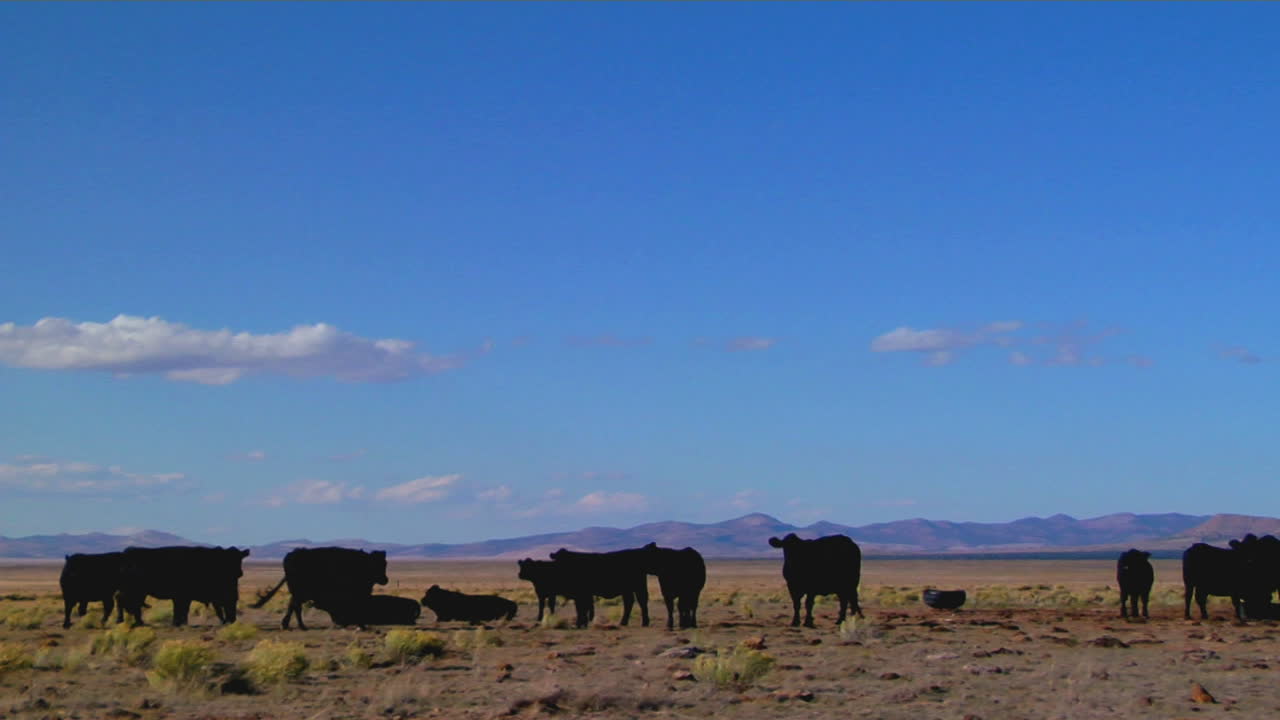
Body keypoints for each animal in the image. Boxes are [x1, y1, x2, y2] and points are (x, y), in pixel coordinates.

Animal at [117, 546, 250, 626]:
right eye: (226, 571)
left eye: (239, 574)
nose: (232, 620)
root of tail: (127, 552)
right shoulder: (182, 596)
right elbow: (181, 609)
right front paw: (179, 623)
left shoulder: (183, 597)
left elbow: (181, 610)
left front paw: (179, 623)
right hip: (133, 591)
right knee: (123, 602)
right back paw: (125, 621)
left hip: (137, 592)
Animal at [252, 547, 388, 630]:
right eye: (378, 565)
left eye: (385, 564)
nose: (385, 580)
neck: (364, 564)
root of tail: (293, 554)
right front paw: (360, 625)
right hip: (299, 593)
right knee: (295, 607)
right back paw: (300, 626)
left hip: (297, 593)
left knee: (292, 605)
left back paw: (289, 625)